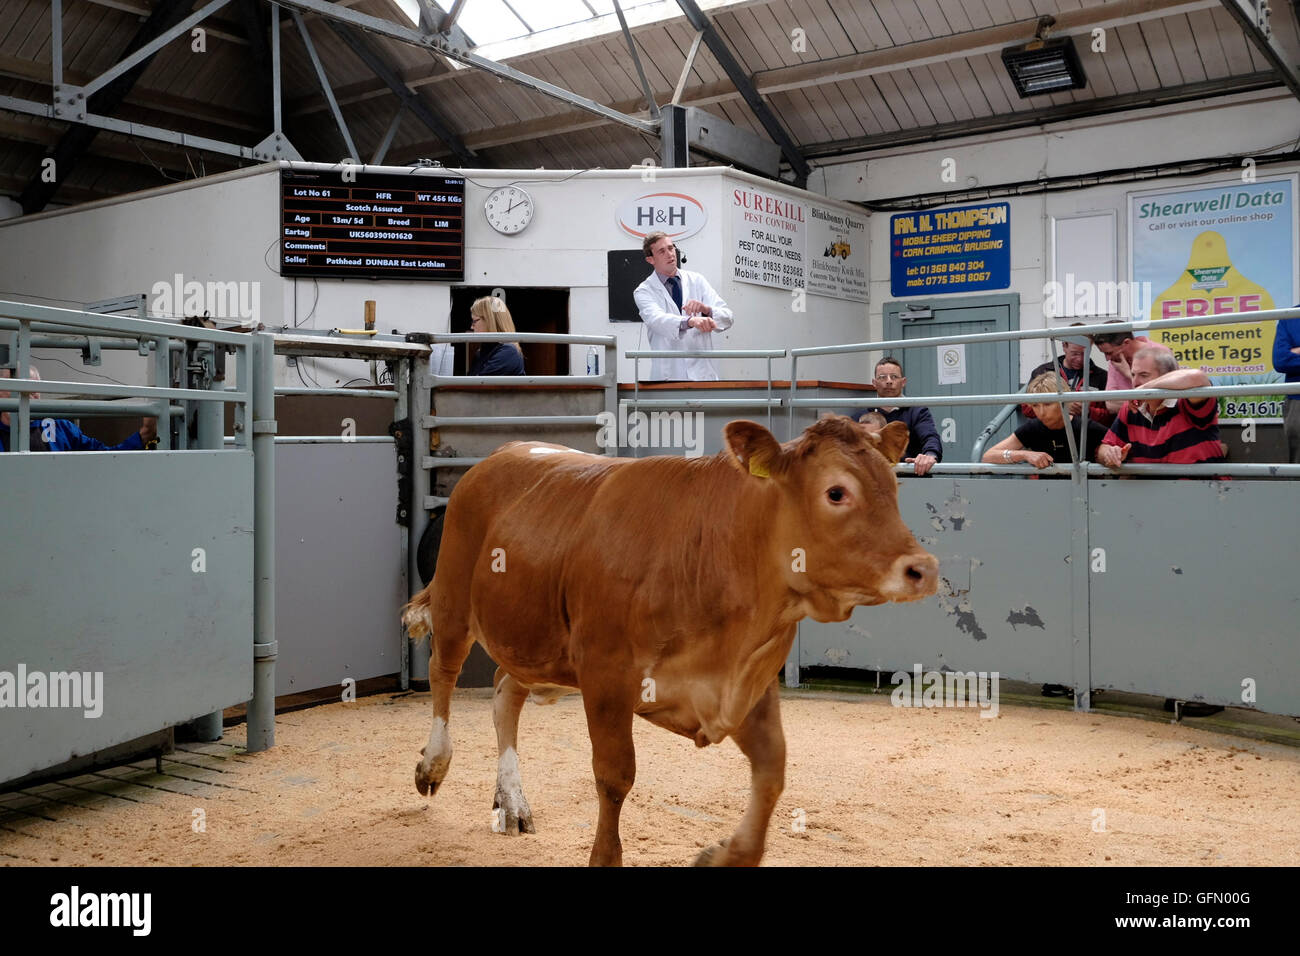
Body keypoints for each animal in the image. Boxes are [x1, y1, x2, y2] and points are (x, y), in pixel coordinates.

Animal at [403, 416, 935, 863]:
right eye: (836, 493)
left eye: (893, 486)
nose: (923, 569)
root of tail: (503, 453)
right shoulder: (606, 678)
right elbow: (614, 778)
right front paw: (605, 856)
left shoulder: (748, 684)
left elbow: (772, 772)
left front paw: (723, 855)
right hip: (454, 601)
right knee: (442, 673)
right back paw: (433, 765)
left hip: (535, 648)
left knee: (504, 692)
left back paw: (511, 802)